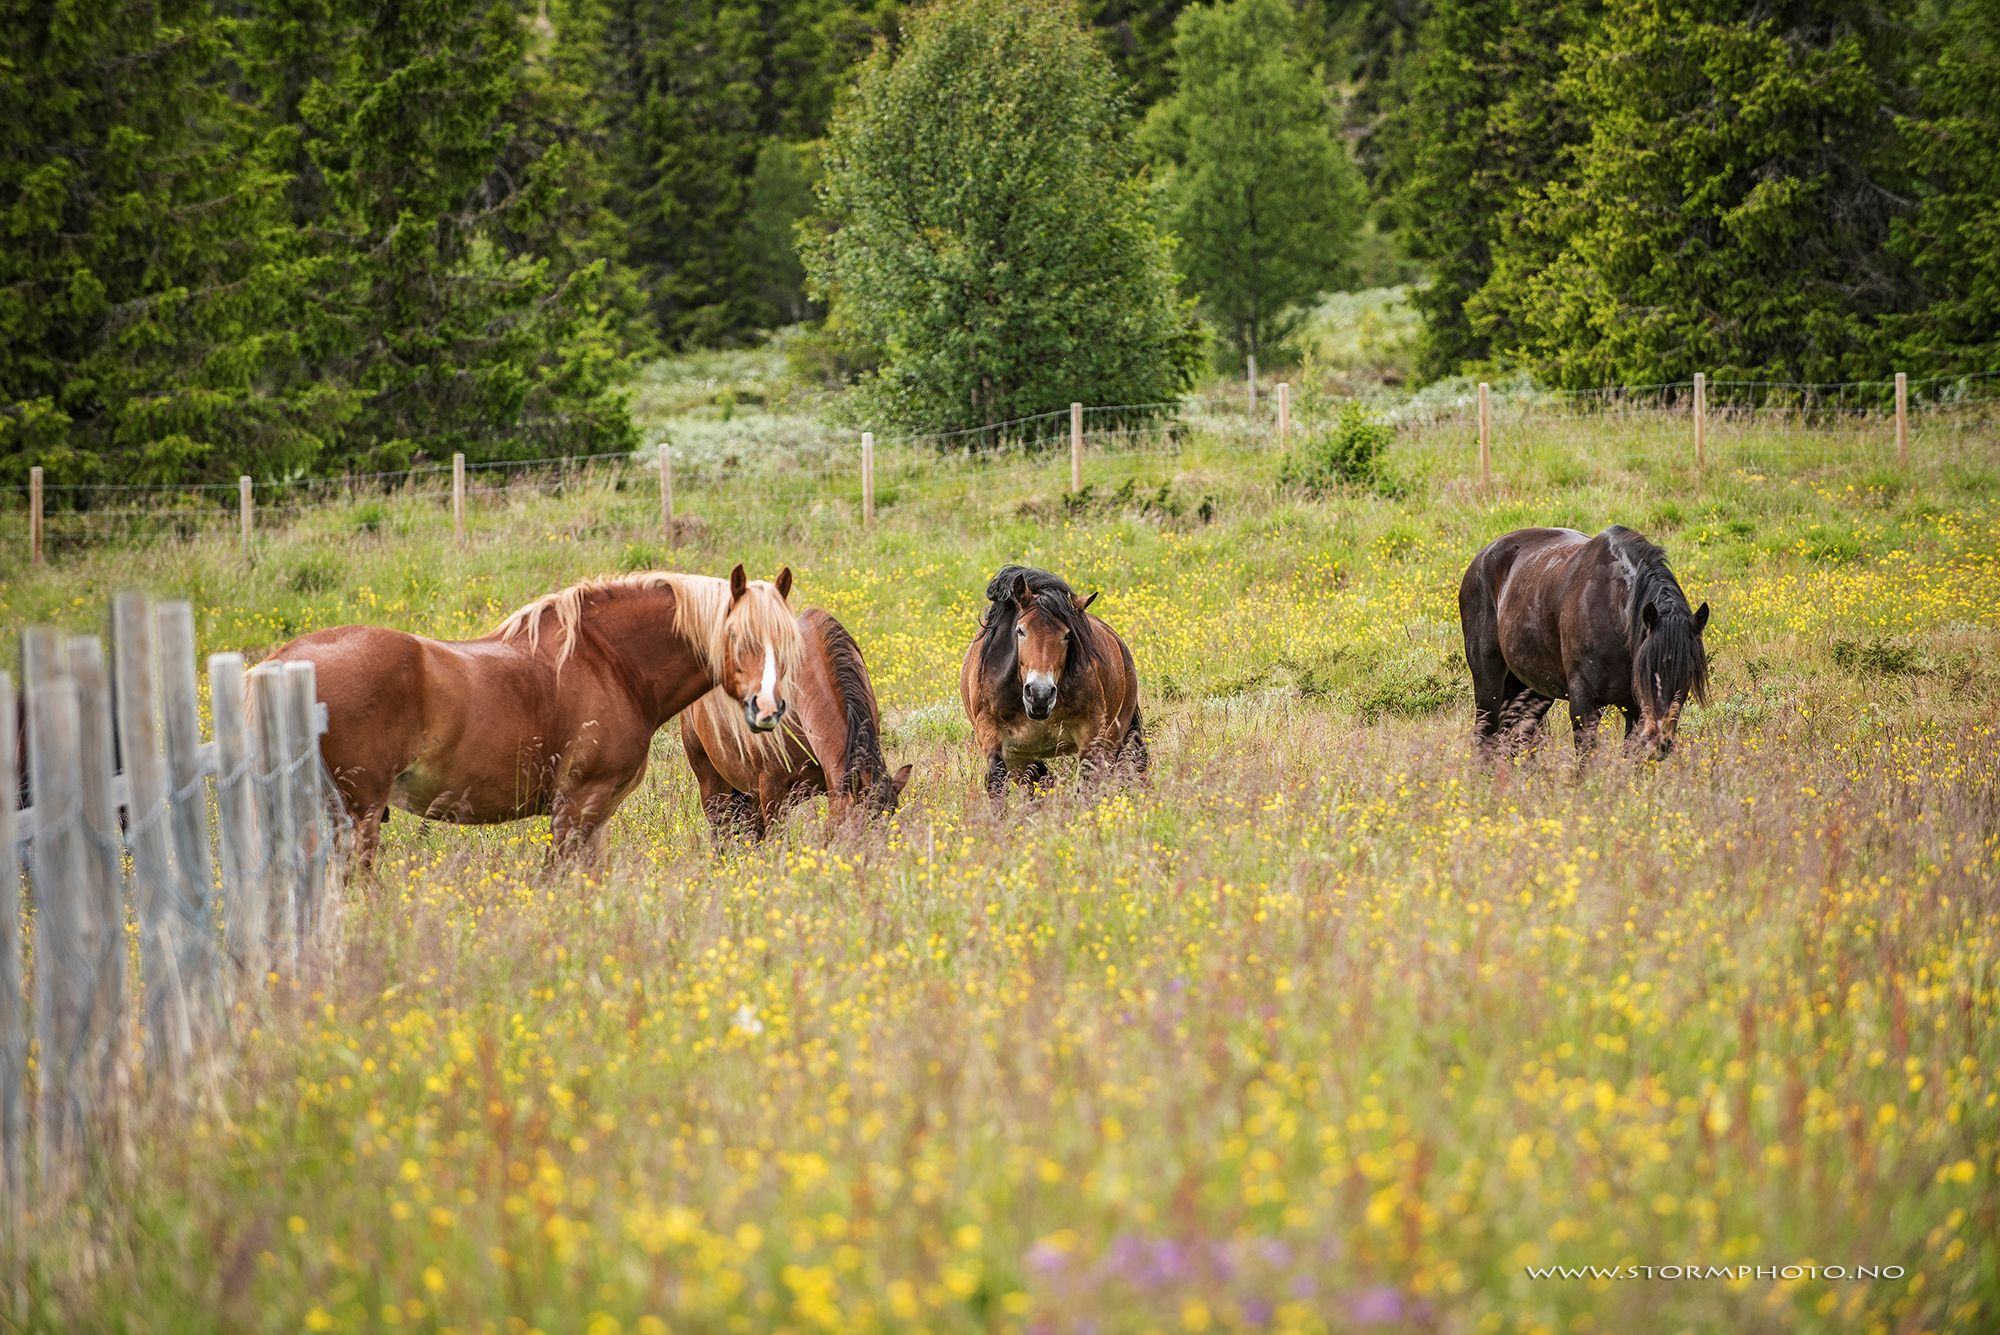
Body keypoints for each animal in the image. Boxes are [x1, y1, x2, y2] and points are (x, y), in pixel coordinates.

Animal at [266, 564, 802, 867]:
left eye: (786, 640)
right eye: (737, 638)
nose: (768, 709)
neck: (608, 662)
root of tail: (283, 661)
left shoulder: (596, 814)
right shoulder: (579, 805)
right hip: (355, 814)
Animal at [960, 565, 1145, 797]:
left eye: (1067, 635)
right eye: (1020, 630)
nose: (1040, 694)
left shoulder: (1091, 734)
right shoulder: (991, 733)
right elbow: (997, 781)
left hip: (1114, 736)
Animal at [1459, 526, 1710, 759]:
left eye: (1688, 673)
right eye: (1649, 671)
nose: (1658, 745)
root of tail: (1482, 556)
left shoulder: (1634, 711)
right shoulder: (1583, 703)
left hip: (1532, 689)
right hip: (1488, 684)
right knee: (1485, 734)